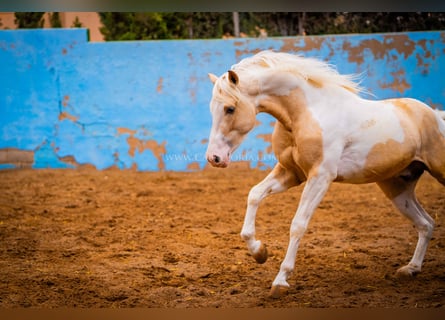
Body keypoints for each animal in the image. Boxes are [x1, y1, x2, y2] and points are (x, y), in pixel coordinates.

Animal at [205, 49, 444, 298]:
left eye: (230, 109)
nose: (214, 158)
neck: (306, 113)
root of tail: (436, 116)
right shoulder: (290, 173)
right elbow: (254, 195)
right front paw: (259, 251)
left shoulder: (320, 177)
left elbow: (298, 224)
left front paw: (281, 280)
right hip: (397, 189)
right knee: (426, 224)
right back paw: (411, 269)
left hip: (437, 172)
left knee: (426, 223)